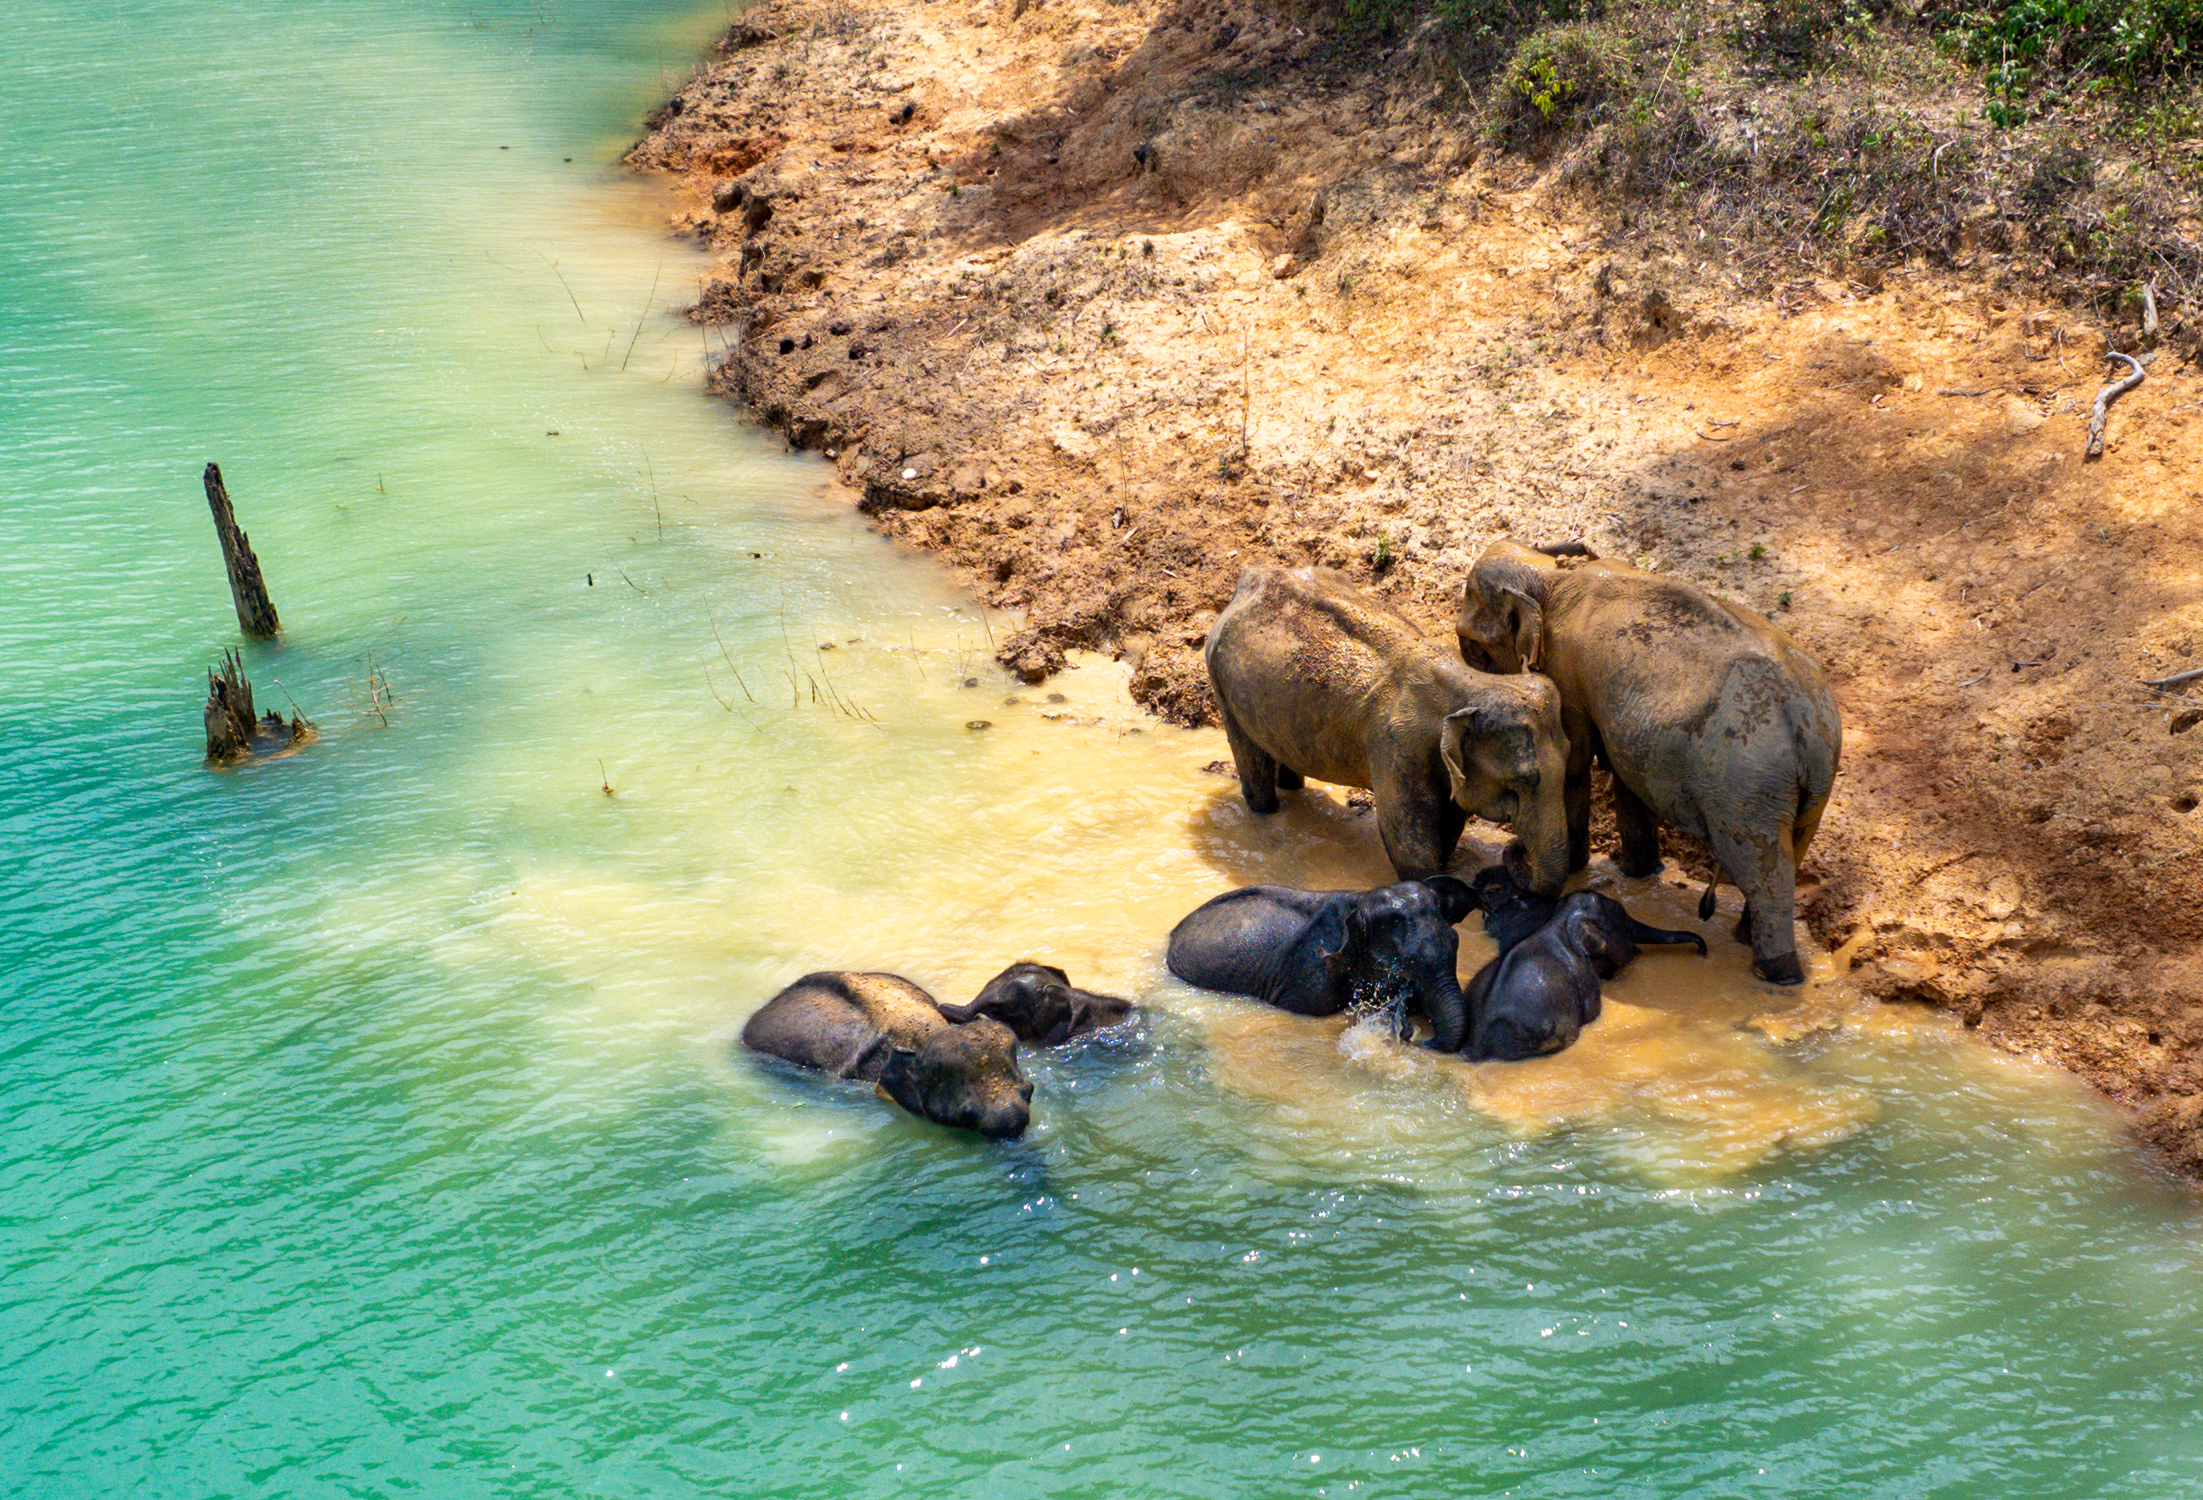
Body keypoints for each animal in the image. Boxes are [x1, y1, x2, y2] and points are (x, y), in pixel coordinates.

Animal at [1204, 566, 1573, 892]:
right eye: (1522, 782)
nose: (1516, 849)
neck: (1470, 683)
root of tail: (1250, 579)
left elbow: (1450, 821)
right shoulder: (1395, 749)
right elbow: (1406, 839)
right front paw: (1432, 882)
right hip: (1221, 681)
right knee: (1253, 769)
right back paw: (1264, 812)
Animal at [1455, 540, 1842, 984]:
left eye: (1473, 645)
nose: (1514, 846)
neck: (1552, 575)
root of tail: (1804, 719)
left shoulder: (1567, 673)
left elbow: (1574, 768)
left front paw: (1579, 867)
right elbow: (1627, 778)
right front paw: (1639, 875)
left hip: (1747, 788)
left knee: (1762, 874)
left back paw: (1776, 975)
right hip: (1813, 786)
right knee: (1792, 852)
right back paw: (1748, 942)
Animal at [1462, 890, 1707, 1061]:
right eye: (1623, 921)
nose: (1702, 951)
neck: (1559, 921)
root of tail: (1476, 1043)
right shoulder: (1584, 976)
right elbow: (1592, 1013)